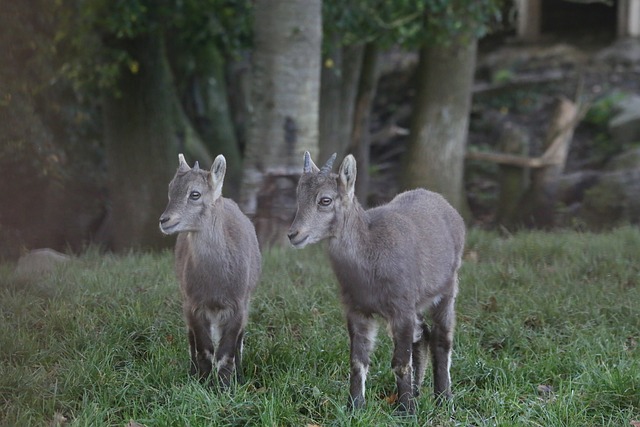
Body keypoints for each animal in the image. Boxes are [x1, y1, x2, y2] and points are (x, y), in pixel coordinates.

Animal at [159, 154, 260, 388]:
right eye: (171, 189)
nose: (164, 220)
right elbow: (204, 349)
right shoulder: (194, 305)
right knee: (191, 340)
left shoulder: (237, 306)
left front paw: (225, 387)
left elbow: (226, 352)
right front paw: (203, 384)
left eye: (194, 194)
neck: (215, 281)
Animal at [288, 153, 464, 414]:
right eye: (298, 196)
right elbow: (357, 361)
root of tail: (450, 210)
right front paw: (355, 407)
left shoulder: (401, 309)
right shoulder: (357, 309)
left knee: (441, 340)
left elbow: (400, 362)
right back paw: (419, 392)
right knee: (422, 335)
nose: (293, 234)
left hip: (446, 288)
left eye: (325, 200)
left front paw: (406, 411)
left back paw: (443, 399)